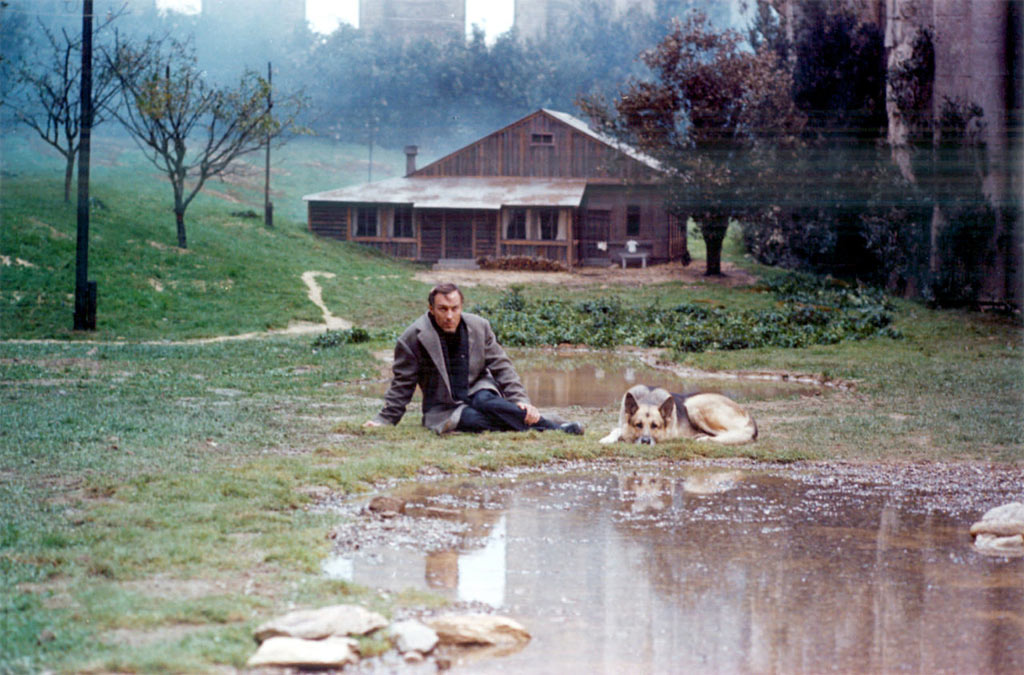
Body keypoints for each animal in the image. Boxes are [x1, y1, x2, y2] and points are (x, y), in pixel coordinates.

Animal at [598, 383, 757, 446]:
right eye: (638, 425)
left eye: (655, 426)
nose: (645, 441)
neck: (649, 399)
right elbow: (617, 429)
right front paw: (608, 438)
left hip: (694, 405)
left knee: (731, 434)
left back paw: (703, 438)